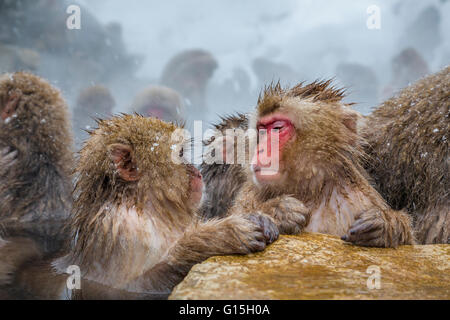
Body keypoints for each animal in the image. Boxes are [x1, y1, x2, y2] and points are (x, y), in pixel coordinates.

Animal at [1, 115, 278, 300]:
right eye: (179, 155)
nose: (196, 172)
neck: (147, 207)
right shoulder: (122, 231)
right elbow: (134, 285)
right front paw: (222, 236)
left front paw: (259, 218)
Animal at [229, 80, 414, 248]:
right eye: (261, 129)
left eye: (277, 128)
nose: (259, 150)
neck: (310, 190)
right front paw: (278, 211)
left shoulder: (362, 199)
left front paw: (386, 224)